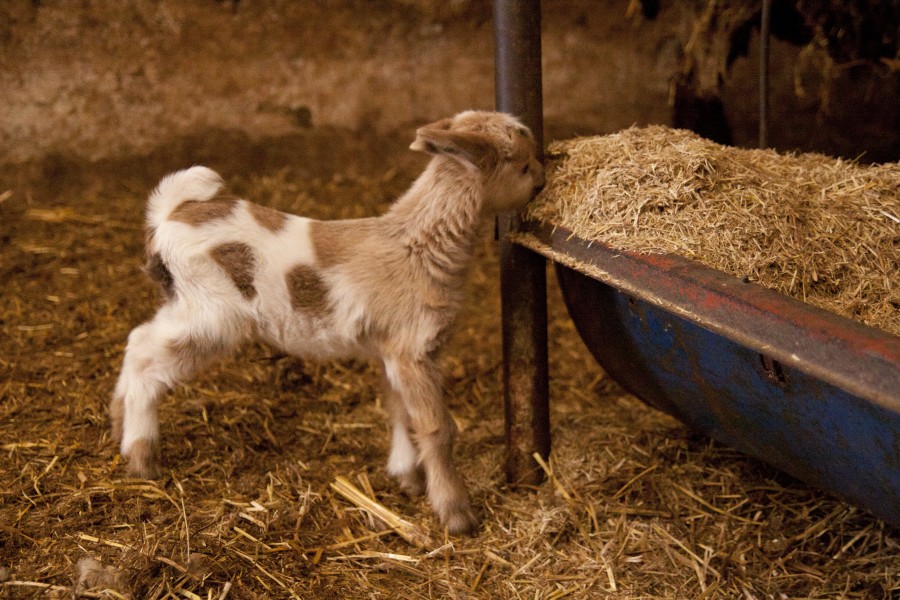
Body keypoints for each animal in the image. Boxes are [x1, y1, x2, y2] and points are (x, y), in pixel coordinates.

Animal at [111, 111, 544, 536]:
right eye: (522, 166)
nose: (542, 181)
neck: (416, 246)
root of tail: (170, 214)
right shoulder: (413, 350)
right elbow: (437, 428)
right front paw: (457, 514)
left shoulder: (392, 351)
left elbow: (397, 409)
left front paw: (406, 476)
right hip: (210, 315)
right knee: (147, 362)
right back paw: (142, 456)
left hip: (186, 304)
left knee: (137, 340)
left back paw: (118, 422)